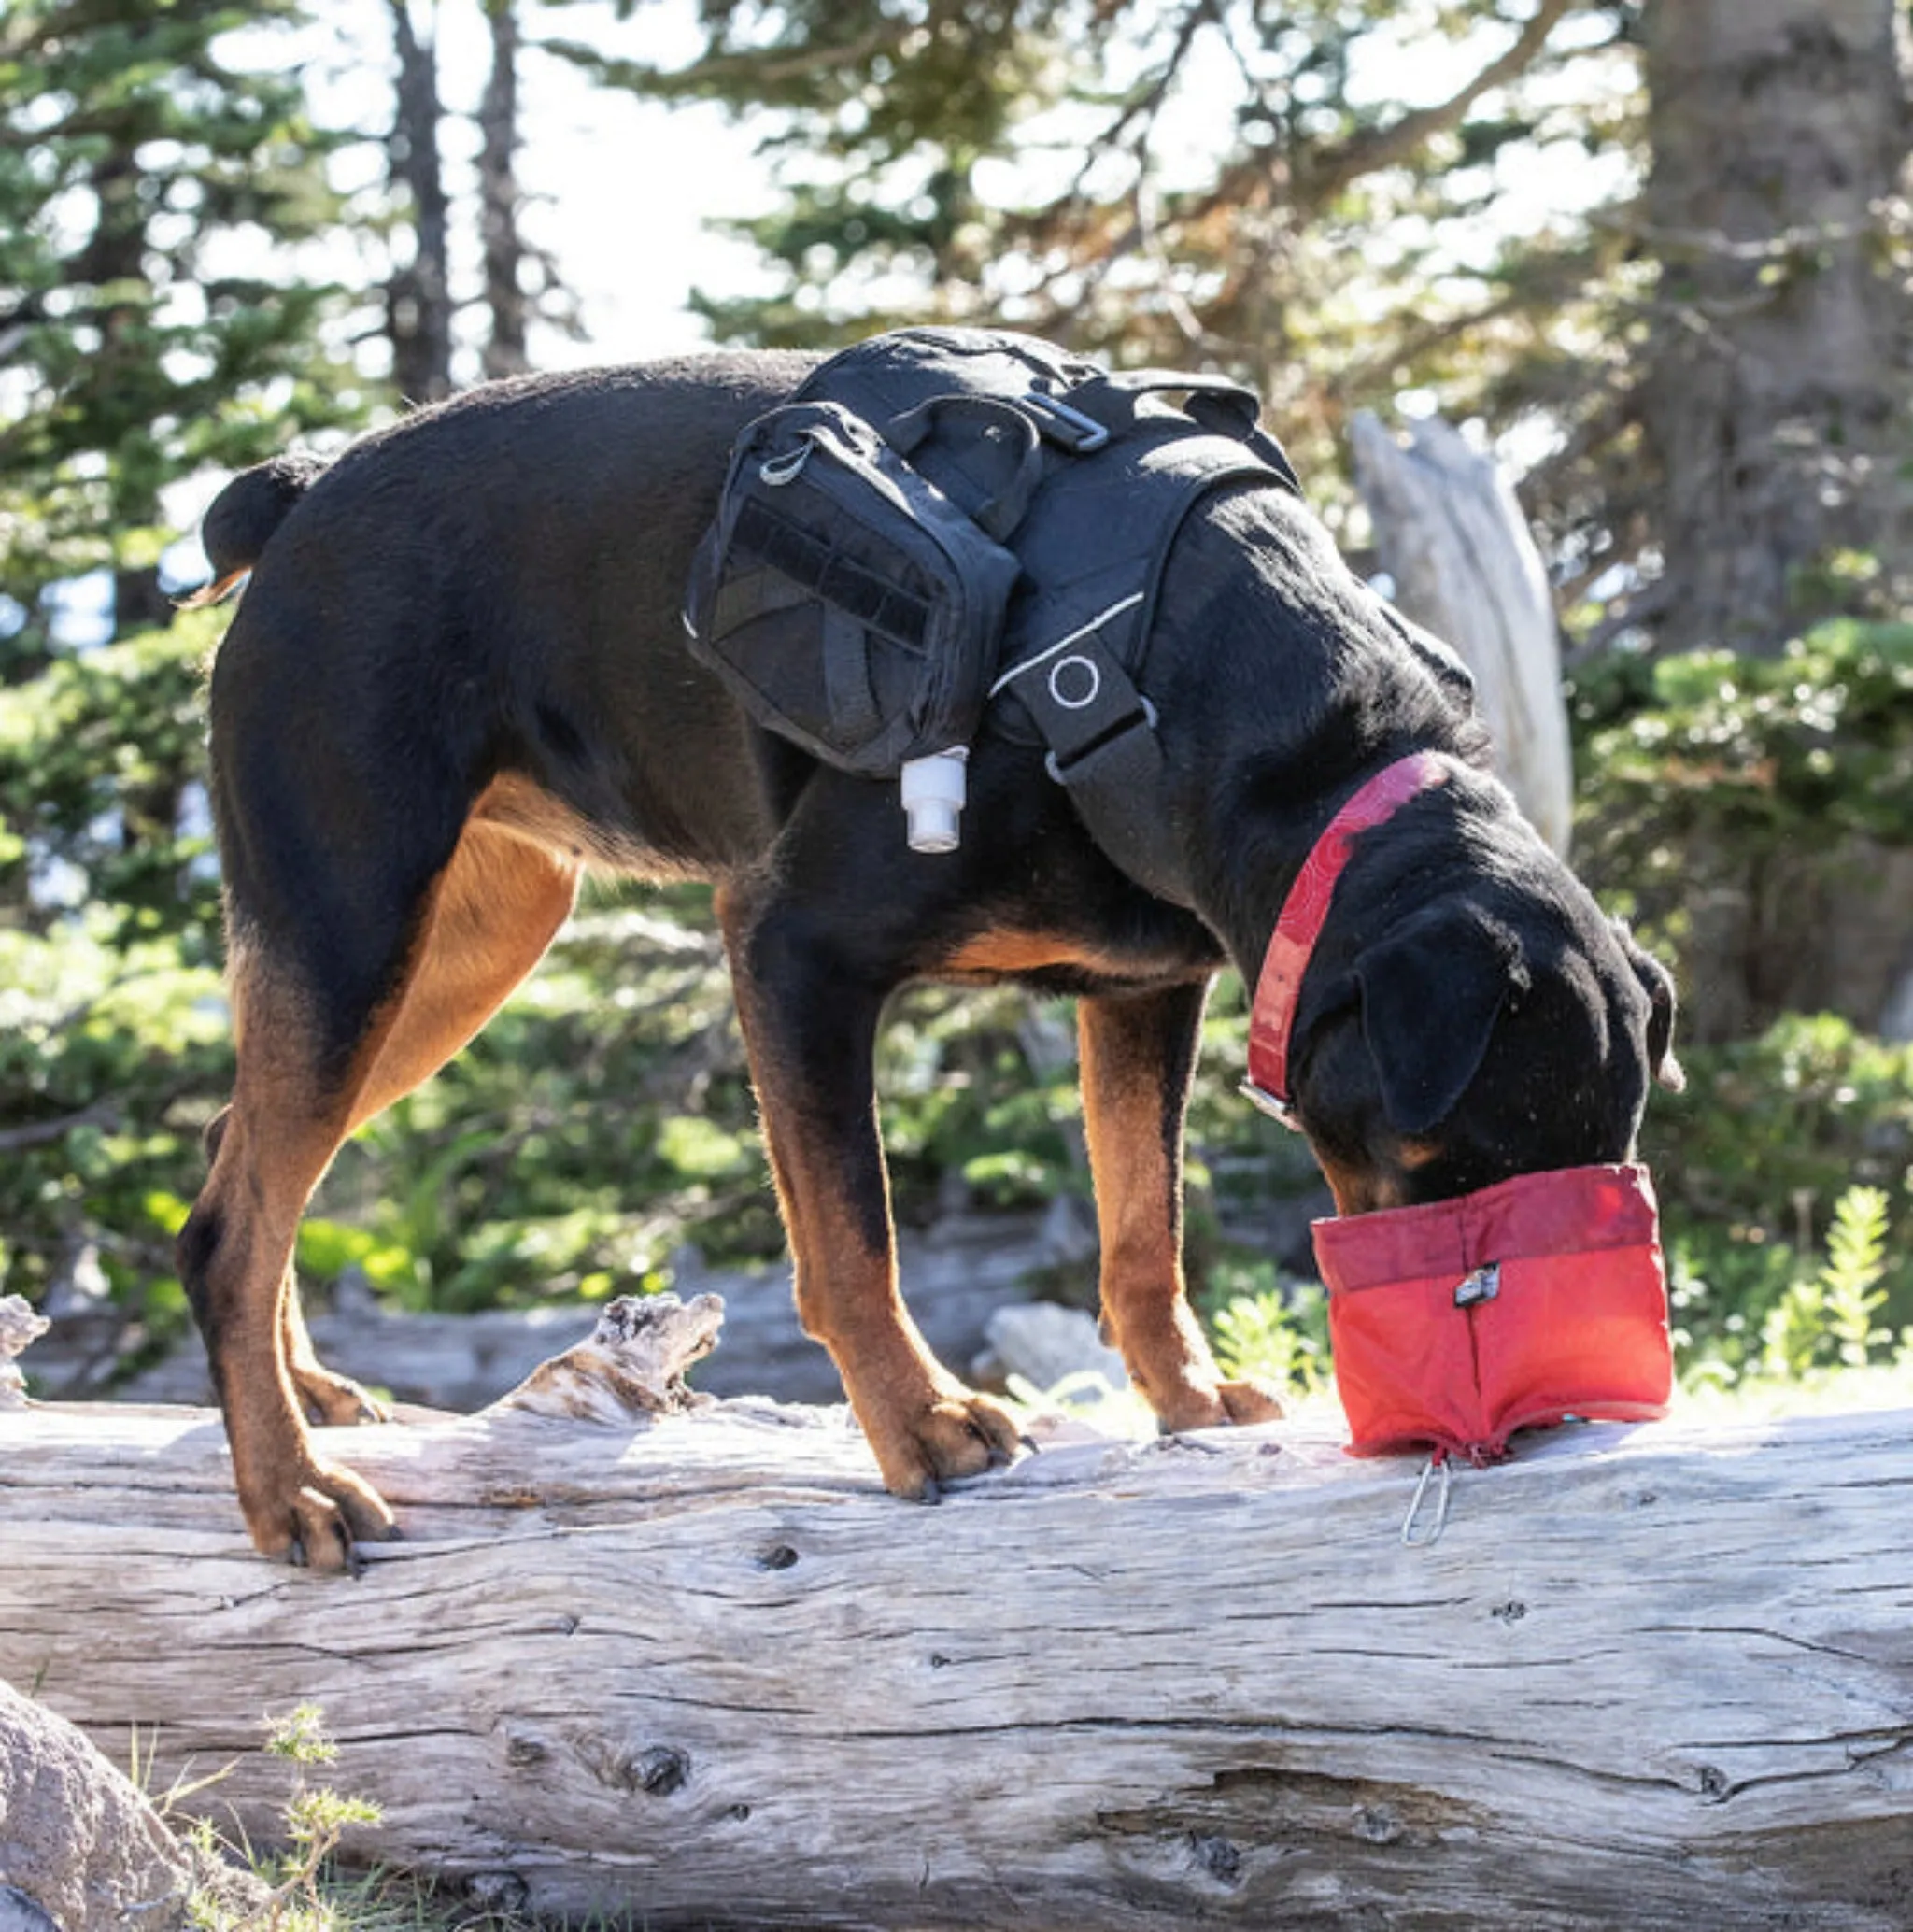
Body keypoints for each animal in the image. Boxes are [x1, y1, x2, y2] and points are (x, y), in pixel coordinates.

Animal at [176, 348, 1677, 1569]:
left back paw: (311, 1399)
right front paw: (922, 1422)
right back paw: (289, 1492)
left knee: (244, 1153)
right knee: (226, 1228)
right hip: (354, 915)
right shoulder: (793, 948)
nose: (1527, 1411)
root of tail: (297, 498)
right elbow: (853, 1237)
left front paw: (1185, 1401)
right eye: (1458, 1174)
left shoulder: (1143, 988)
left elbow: (1143, 1232)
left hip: (465, 941)